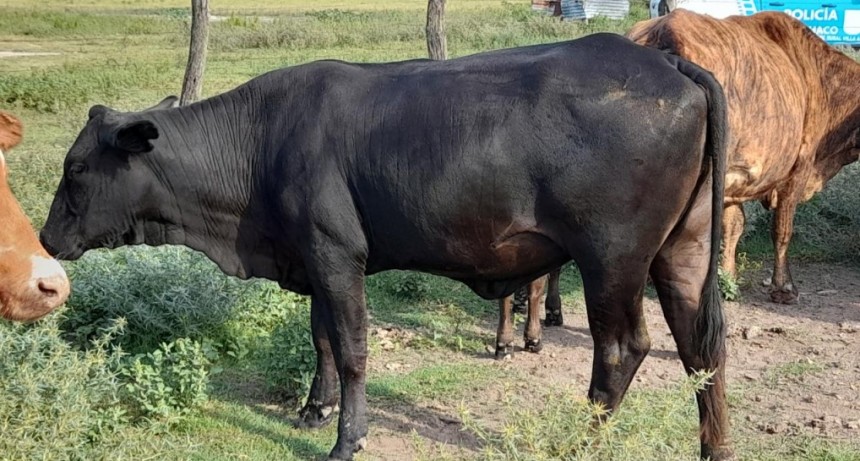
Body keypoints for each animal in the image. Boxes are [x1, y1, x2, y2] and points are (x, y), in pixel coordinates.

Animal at [40, 34, 731, 460]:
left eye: (75, 169)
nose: (45, 238)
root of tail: (665, 63)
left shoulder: (335, 255)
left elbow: (350, 349)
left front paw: (347, 438)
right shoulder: (312, 257)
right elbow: (320, 337)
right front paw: (313, 409)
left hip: (612, 259)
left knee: (622, 350)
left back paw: (580, 442)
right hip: (683, 251)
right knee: (702, 350)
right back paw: (714, 447)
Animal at [628, 10, 860, 304]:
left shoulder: (735, 181)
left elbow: (733, 227)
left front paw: (728, 278)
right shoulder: (796, 172)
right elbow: (781, 231)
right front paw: (783, 287)